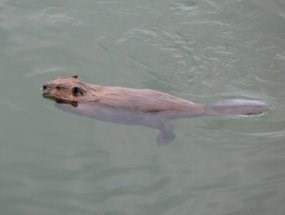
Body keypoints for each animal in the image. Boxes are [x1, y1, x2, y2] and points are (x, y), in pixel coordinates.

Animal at [41, 75, 268, 144]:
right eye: (56, 79)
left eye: (59, 86)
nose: (44, 85)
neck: (90, 91)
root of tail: (200, 107)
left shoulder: (90, 106)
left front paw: (58, 105)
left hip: (155, 120)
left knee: (169, 128)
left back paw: (162, 141)